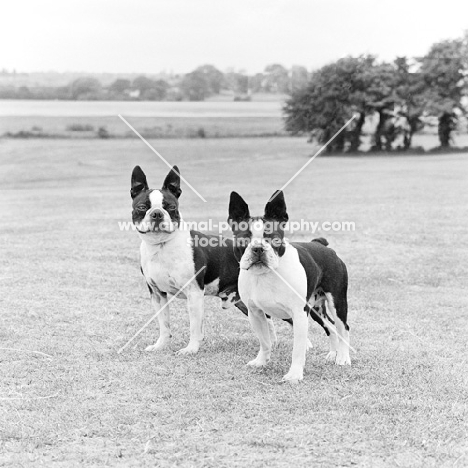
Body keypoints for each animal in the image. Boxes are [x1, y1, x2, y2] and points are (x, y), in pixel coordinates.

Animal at [130, 166, 262, 352]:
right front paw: (160, 345)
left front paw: (191, 349)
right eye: (142, 207)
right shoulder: (157, 294)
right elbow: (164, 324)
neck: (162, 245)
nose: (156, 213)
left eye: (171, 207)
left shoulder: (194, 293)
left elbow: (194, 326)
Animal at [229, 190, 350, 384]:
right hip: (316, 309)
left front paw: (294, 375)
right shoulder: (255, 313)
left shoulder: (299, 315)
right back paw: (333, 353)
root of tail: (321, 245)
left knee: (343, 327)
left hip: (337, 302)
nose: (258, 248)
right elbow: (264, 341)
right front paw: (261, 362)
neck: (266, 274)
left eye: (272, 238)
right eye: (244, 239)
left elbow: (298, 349)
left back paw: (343, 358)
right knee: (330, 326)